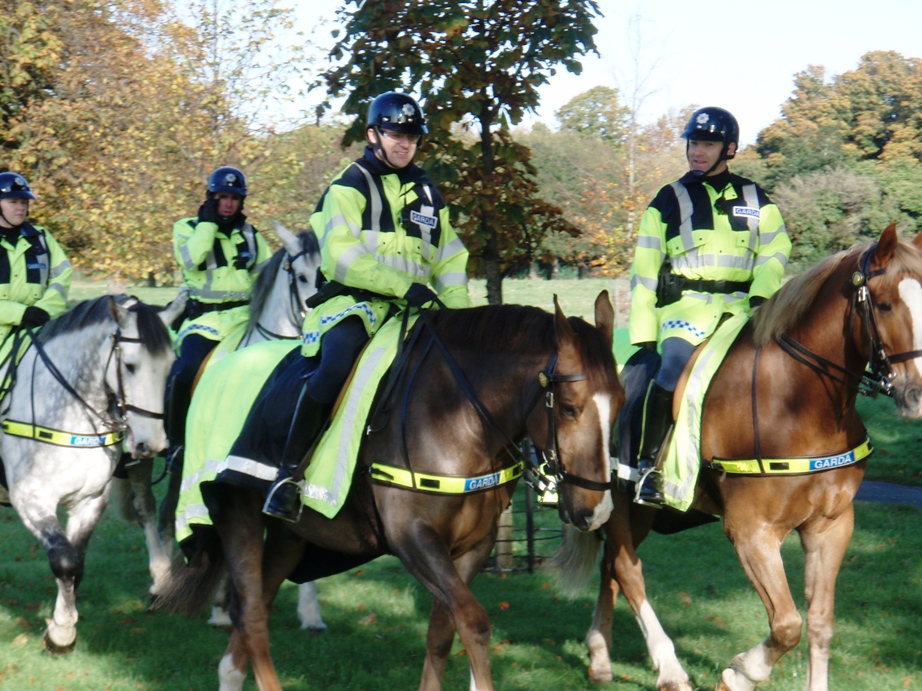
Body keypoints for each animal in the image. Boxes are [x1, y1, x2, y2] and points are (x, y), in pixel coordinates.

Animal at [155, 292, 624, 691]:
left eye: (619, 405)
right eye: (569, 408)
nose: (597, 510)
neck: (454, 415)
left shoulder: (473, 547)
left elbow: (443, 632)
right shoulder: (413, 538)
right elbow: (474, 621)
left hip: (290, 538)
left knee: (252, 618)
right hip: (239, 518)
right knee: (251, 615)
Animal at [548, 224, 920, 688]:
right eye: (885, 304)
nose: (916, 393)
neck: (797, 402)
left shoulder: (831, 526)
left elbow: (819, 623)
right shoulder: (750, 532)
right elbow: (787, 624)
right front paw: (741, 672)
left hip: (639, 515)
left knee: (611, 570)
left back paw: (600, 655)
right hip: (613, 504)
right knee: (626, 570)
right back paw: (669, 668)